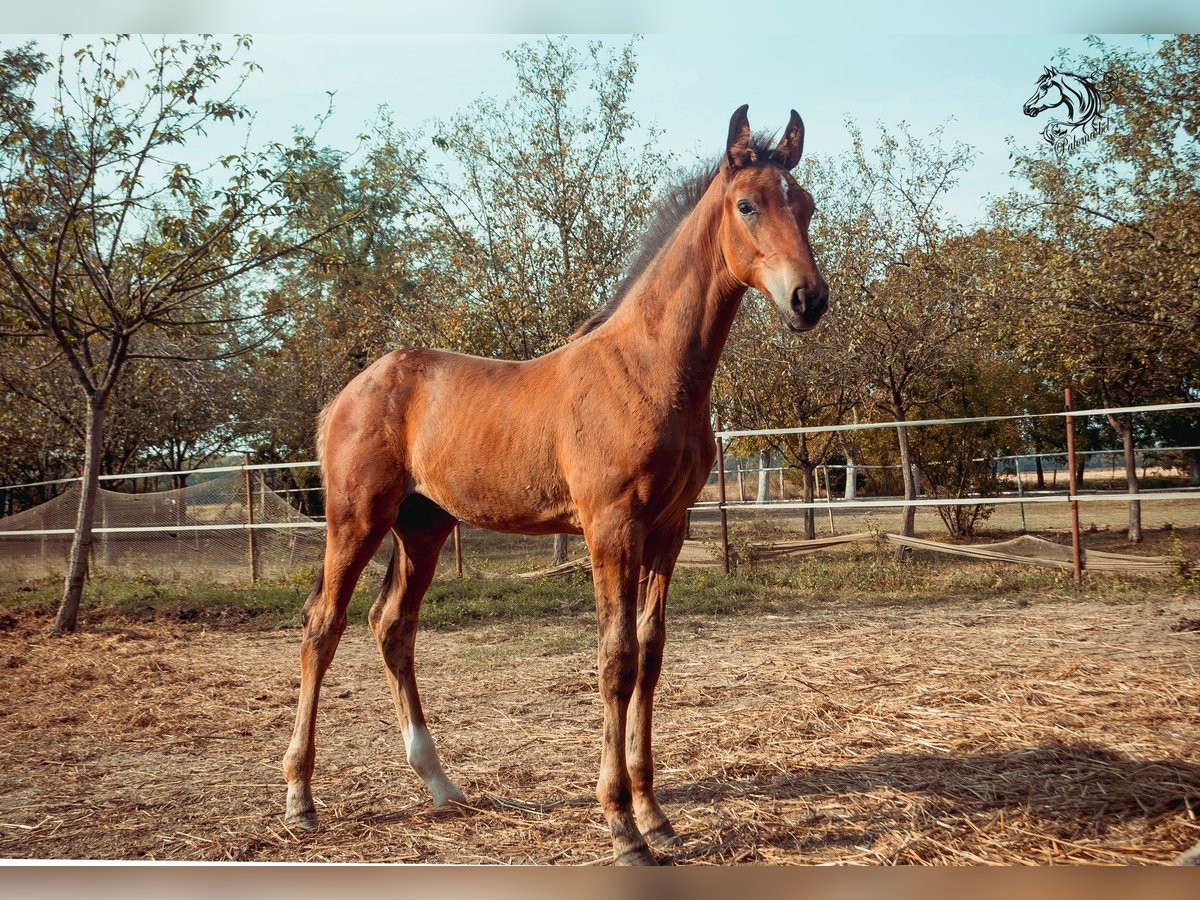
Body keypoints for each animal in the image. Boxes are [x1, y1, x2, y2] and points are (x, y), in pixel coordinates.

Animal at [282, 105, 830, 868]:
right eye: (748, 204)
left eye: (803, 205)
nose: (809, 299)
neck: (650, 369)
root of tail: (346, 393)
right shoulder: (611, 527)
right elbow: (616, 659)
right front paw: (622, 826)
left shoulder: (668, 529)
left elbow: (651, 656)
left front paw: (656, 815)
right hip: (357, 519)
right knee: (322, 627)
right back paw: (301, 799)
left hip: (424, 526)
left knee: (391, 626)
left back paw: (441, 784)